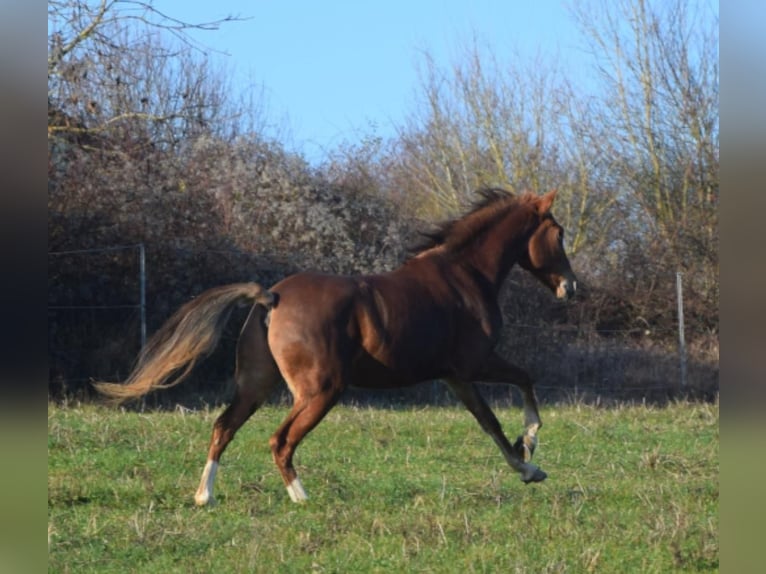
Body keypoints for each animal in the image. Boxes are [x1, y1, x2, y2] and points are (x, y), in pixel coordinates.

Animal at [94, 187, 576, 506]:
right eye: (559, 233)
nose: (570, 287)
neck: (464, 275)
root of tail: (271, 297)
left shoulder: (456, 378)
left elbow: (489, 424)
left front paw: (527, 466)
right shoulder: (474, 364)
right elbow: (523, 385)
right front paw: (531, 446)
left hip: (257, 385)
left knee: (223, 426)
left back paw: (204, 496)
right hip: (320, 391)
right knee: (279, 440)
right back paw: (302, 498)